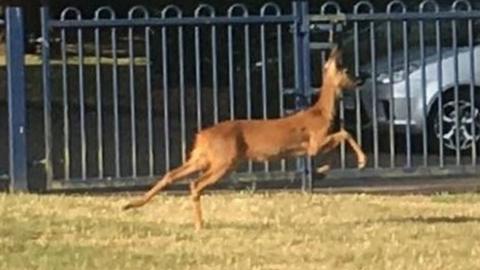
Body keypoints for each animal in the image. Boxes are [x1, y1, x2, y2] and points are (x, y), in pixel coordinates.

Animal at [122, 47, 366, 229]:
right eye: (346, 70)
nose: (360, 80)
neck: (321, 113)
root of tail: (202, 136)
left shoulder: (310, 147)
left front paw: (322, 171)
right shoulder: (315, 142)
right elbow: (345, 133)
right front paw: (361, 162)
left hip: (202, 157)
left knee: (172, 174)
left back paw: (131, 205)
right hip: (224, 160)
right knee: (195, 184)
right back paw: (200, 225)